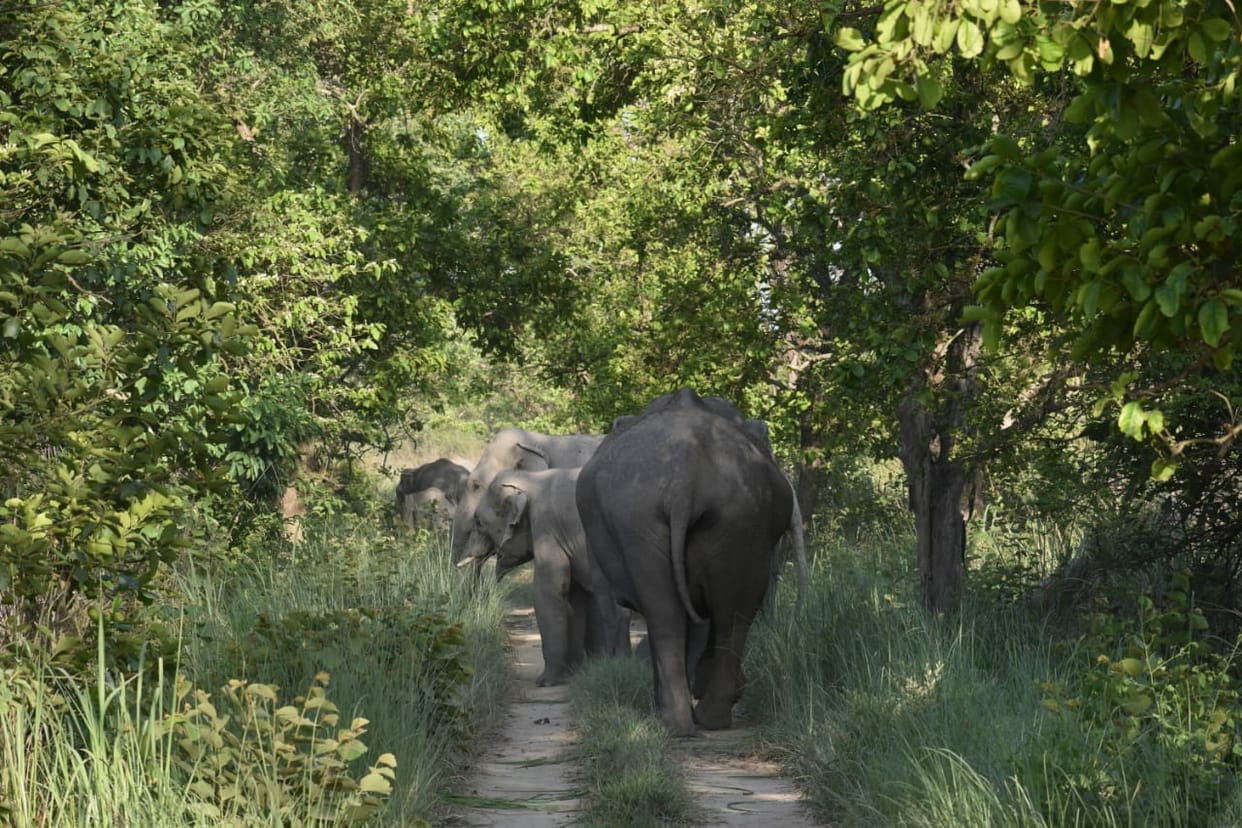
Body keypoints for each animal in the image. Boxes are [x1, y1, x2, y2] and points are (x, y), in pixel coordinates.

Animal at [458, 467, 630, 685]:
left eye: (479, 522)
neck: (531, 478)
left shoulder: (547, 529)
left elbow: (547, 593)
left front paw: (546, 681)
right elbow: (574, 598)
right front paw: (574, 672)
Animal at [576, 387, 804, 736]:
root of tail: (685, 472)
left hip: (642, 522)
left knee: (666, 614)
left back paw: (675, 722)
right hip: (739, 518)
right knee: (732, 613)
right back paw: (707, 719)